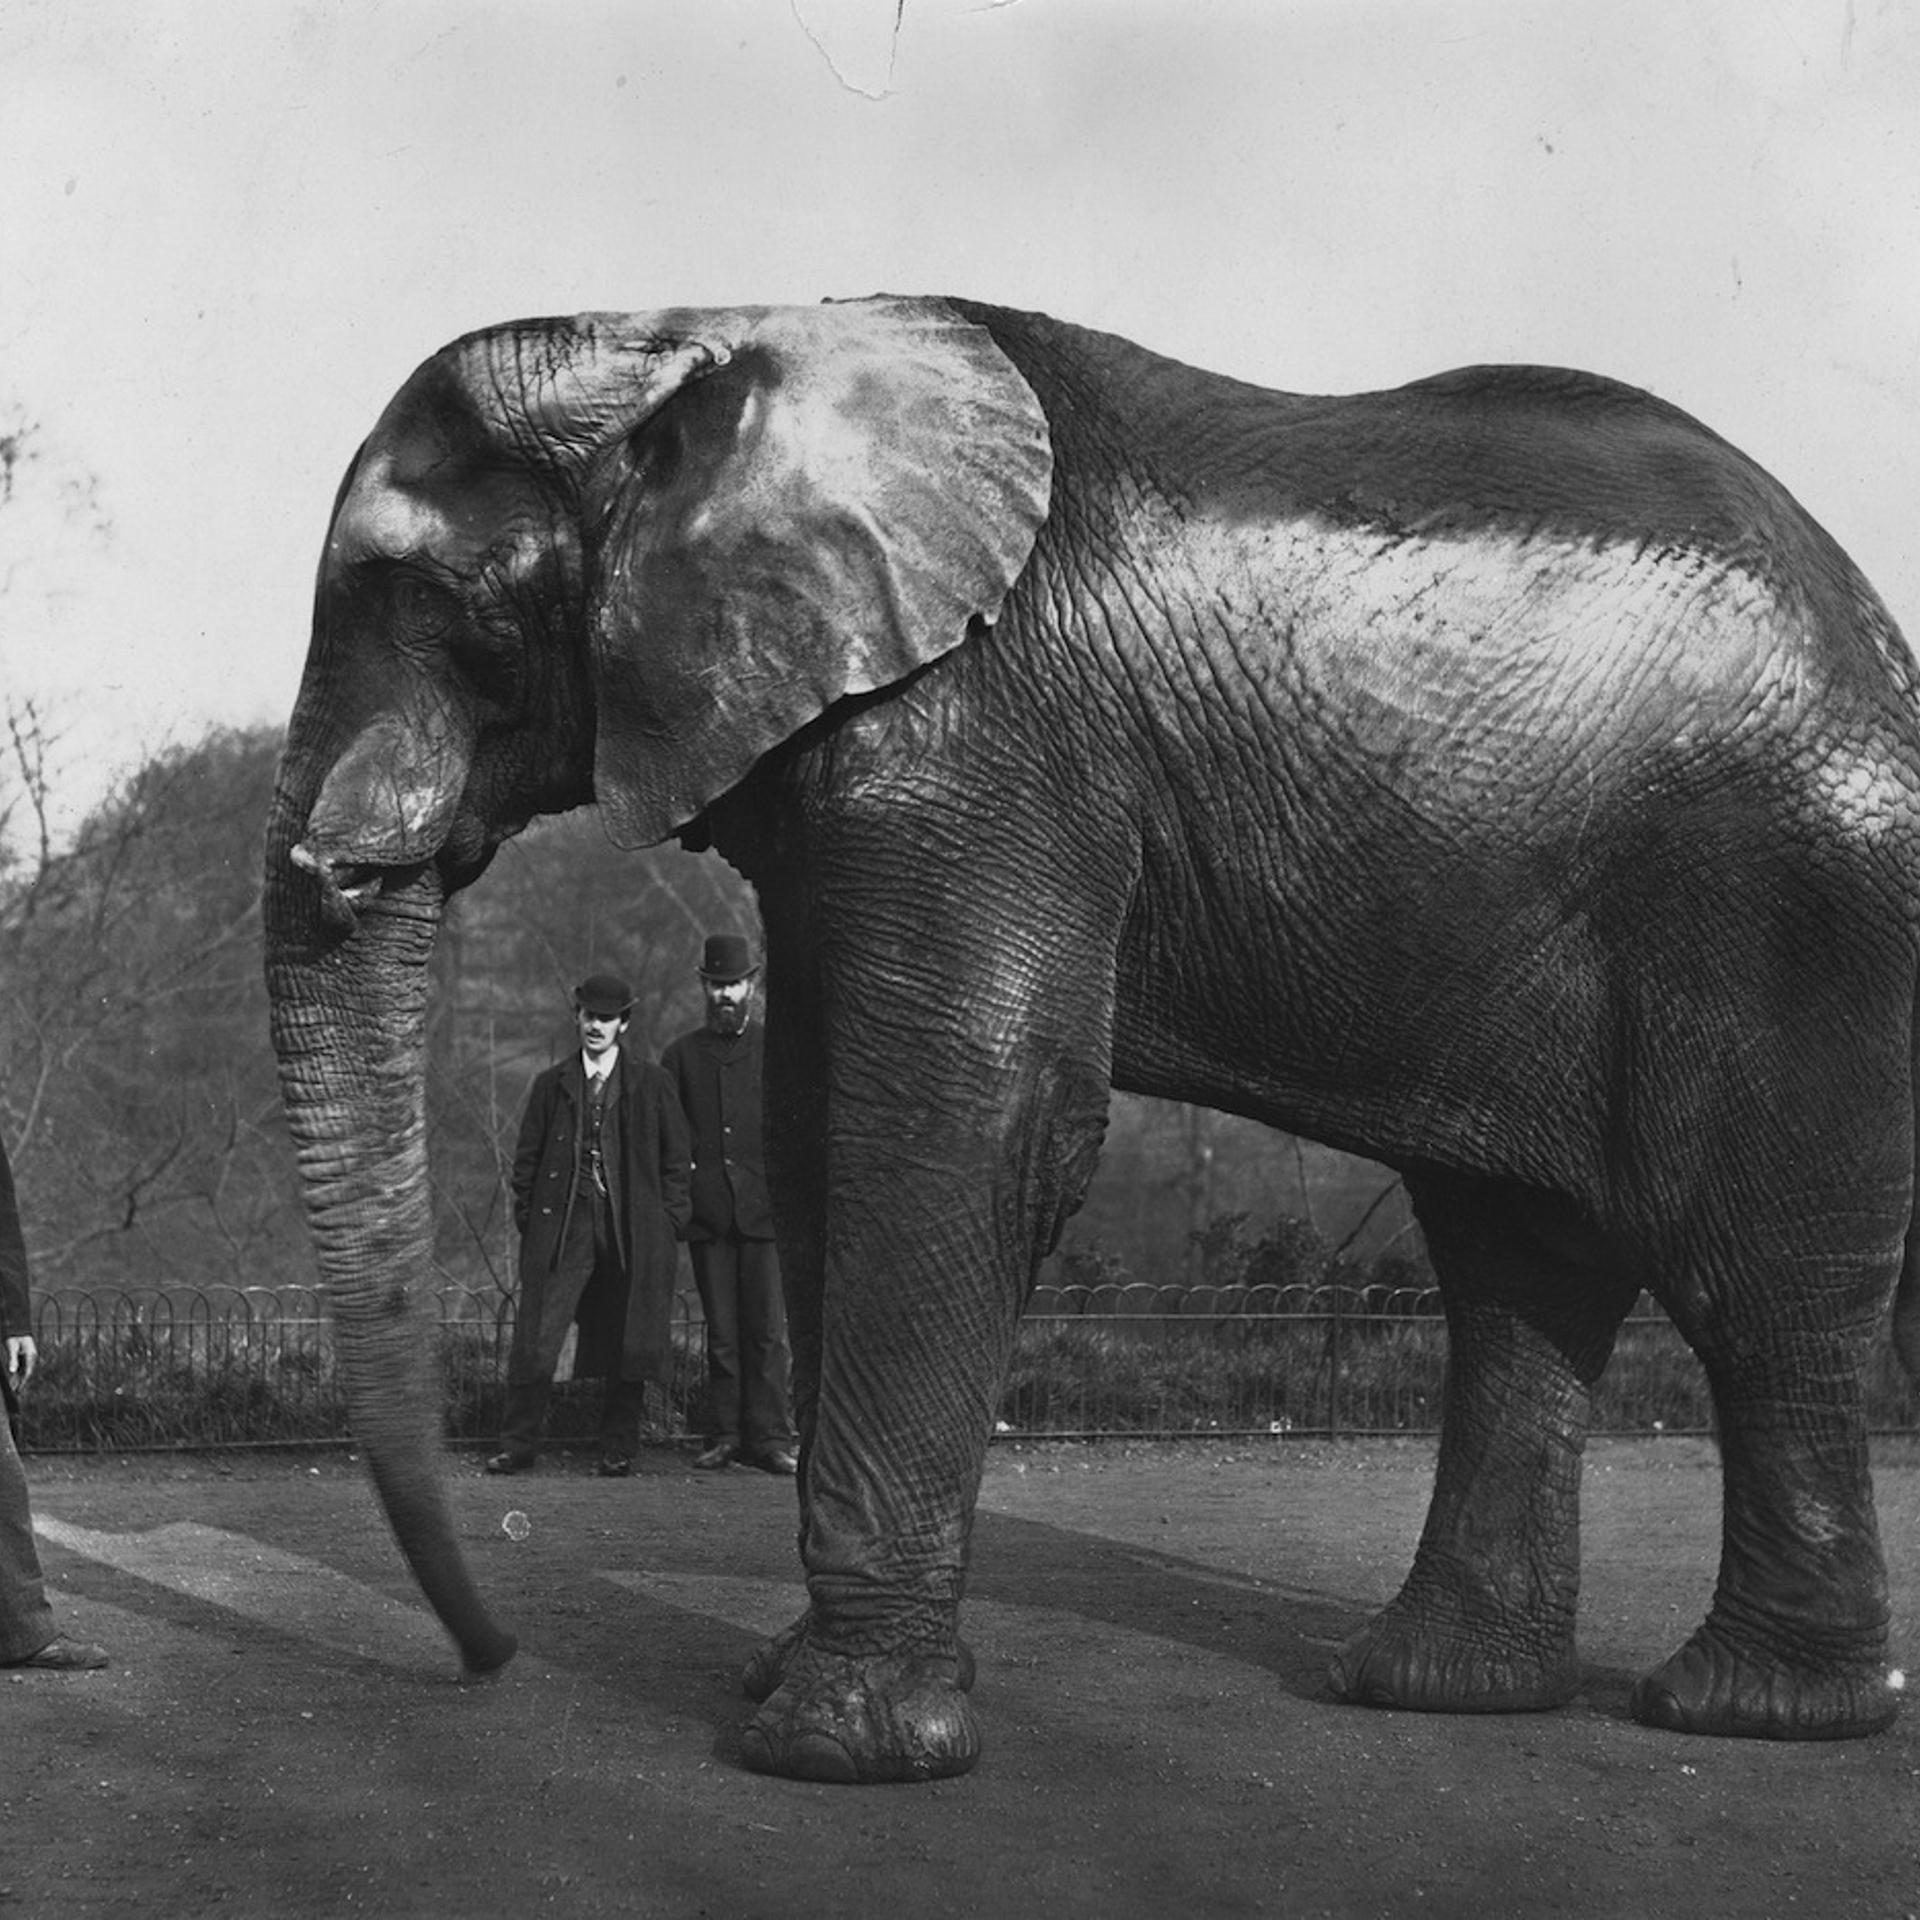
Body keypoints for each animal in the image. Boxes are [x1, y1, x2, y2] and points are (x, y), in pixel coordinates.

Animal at [266, 292, 1920, 1784]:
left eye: (440, 609)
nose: (487, 1660)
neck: (698, 327)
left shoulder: (982, 734)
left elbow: (965, 1127)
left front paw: (831, 1750)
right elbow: (812, 1138)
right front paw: (793, 1687)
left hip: (1791, 907)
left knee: (1752, 1275)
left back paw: (1750, 1715)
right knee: (1519, 1266)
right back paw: (1435, 1690)